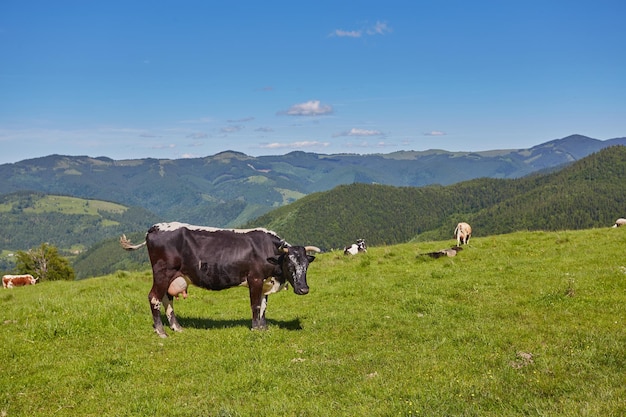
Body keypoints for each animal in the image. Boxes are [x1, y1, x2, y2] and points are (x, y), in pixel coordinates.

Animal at [119, 223, 320, 336]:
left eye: (306, 266)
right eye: (290, 264)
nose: (303, 289)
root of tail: (155, 227)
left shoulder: (265, 282)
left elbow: (263, 306)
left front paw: (264, 328)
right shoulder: (255, 278)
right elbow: (255, 305)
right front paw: (256, 329)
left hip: (173, 276)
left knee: (167, 299)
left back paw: (177, 328)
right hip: (162, 272)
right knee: (154, 297)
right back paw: (161, 332)